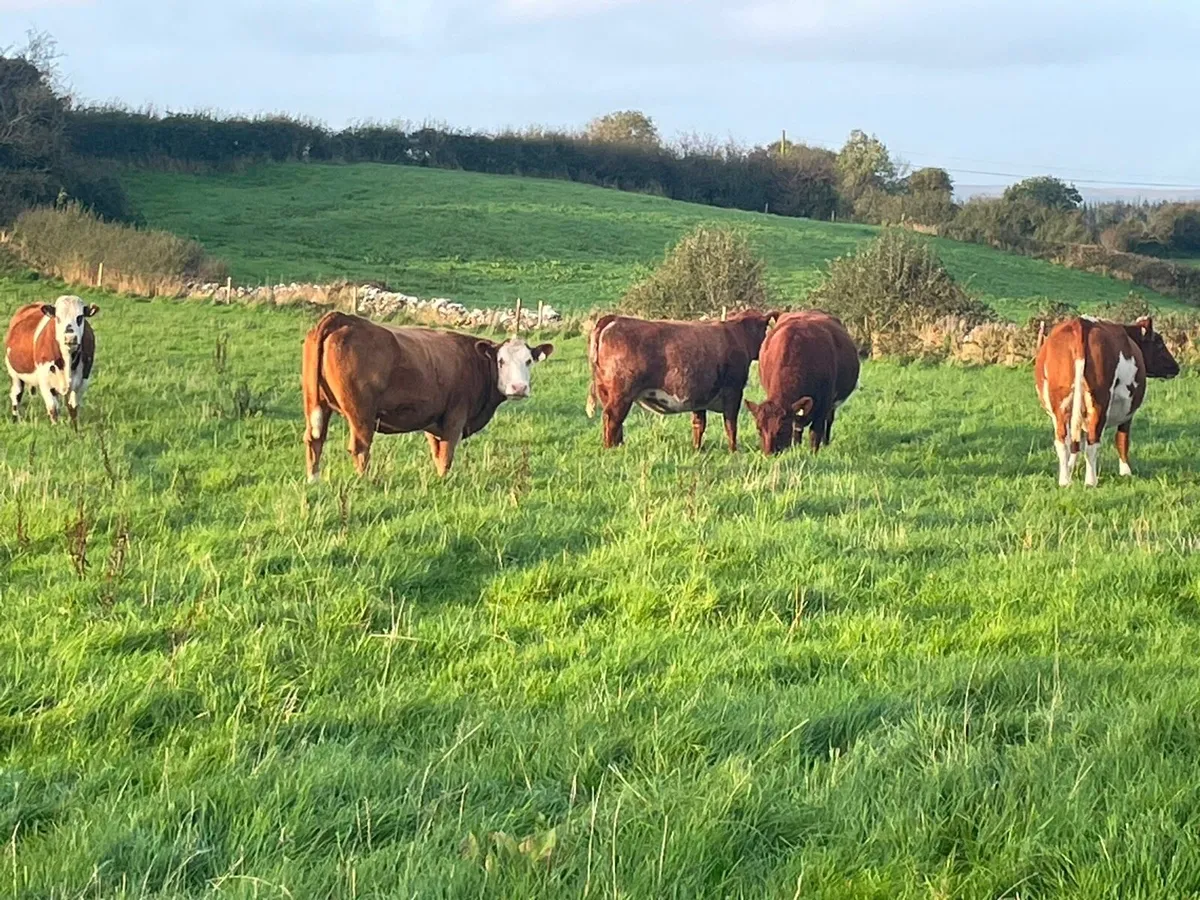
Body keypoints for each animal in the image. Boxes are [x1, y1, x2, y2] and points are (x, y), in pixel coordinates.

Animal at [5, 295, 98, 429]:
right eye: (57, 318)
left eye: (80, 317)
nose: (70, 338)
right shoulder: (45, 381)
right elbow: (53, 408)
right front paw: (55, 428)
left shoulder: (83, 380)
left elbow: (74, 408)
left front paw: (75, 428)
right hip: (14, 374)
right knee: (16, 395)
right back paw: (15, 418)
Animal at [301, 311, 553, 480]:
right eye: (501, 361)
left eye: (528, 361)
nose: (518, 388)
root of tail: (343, 318)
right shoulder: (455, 416)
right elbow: (446, 454)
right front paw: (444, 481)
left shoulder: (434, 421)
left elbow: (436, 451)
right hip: (361, 412)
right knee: (360, 446)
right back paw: (366, 481)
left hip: (316, 403)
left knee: (315, 439)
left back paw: (314, 480)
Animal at [585, 310, 778, 451]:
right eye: (765, 329)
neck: (736, 334)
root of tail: (614, 318)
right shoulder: (733, 391)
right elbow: (731, 424)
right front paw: (733, 450)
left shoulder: (700, 395)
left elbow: (699, 424)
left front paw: (697, 450)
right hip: (621, 394)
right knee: (612, 418)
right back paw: (611, 449)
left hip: (606, 392)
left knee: (614, 422)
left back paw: (619, 446)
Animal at [744, 310, 860, 455]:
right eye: (759, 429)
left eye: (782, 429)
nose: (769, 454)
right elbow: (796, 429)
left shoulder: (823, 405)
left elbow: (815, 434)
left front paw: (813, 454)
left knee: (829, 420)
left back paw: (826, 443)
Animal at [1035, 315, 1179, 487]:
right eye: (1159, 343)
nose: (1176, 367)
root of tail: (1081, 323)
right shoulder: (1128, 412)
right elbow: (1122, 440)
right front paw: (1126, 472)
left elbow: (1075, 443)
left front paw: (1070, 468)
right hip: (1099, 402)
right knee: (1092, 441)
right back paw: (1090, 481)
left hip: (1061, 403)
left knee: (1062, 441)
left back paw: (1064, 481)